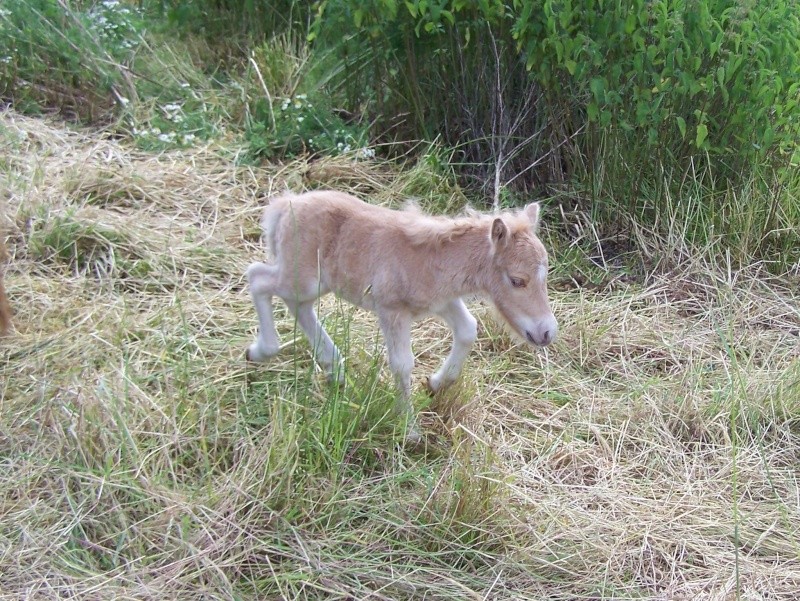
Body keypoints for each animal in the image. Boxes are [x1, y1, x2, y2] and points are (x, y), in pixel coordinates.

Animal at [247, 192, 560, 440]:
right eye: (517, 280)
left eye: (545, 276)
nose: (546, 332)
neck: (432, 261)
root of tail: (284, 205)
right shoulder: (391, 310)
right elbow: (402, 364)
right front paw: (410, 430)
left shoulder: (443, 302)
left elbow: (468, 329)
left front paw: (435, 384)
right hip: (303, 278)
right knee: (258, 278)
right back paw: (261, 350)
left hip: (313, 282)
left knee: (297, 304)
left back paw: (333, 369)